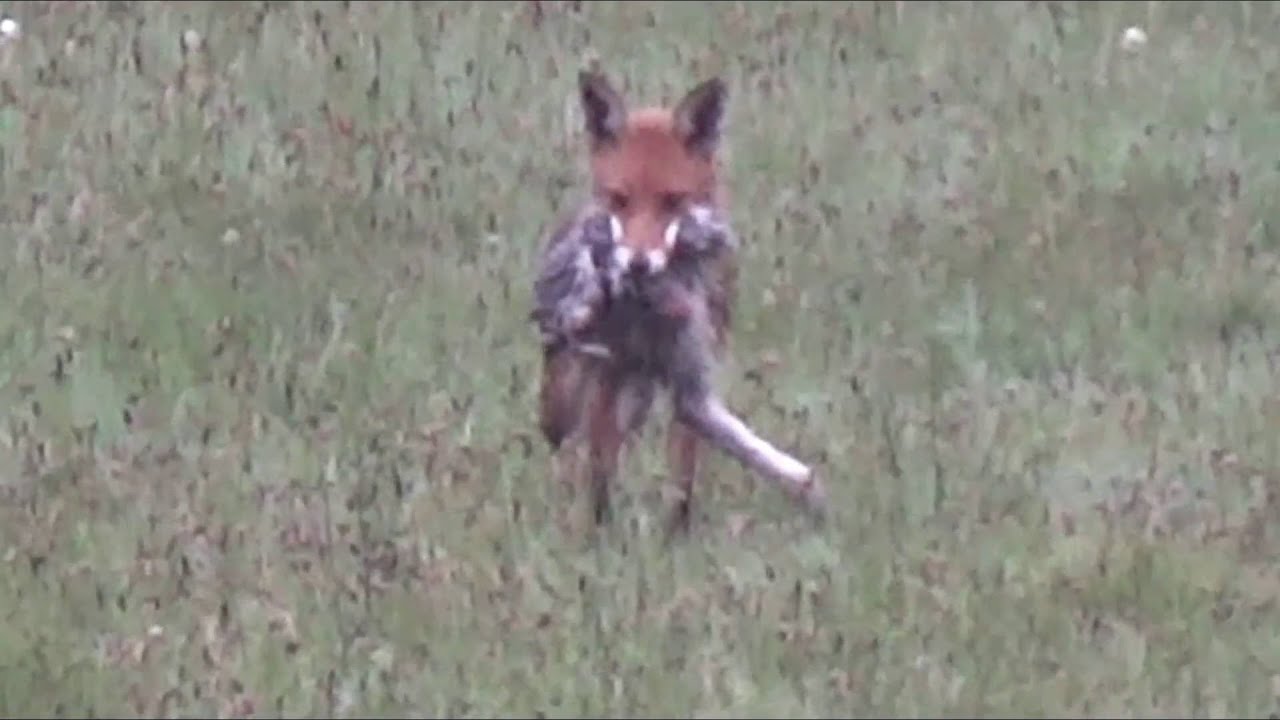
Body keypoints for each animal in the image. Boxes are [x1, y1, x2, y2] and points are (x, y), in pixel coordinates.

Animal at [531, 70, 826, 533]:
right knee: (574, 436)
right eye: (620, 200)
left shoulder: (693, 370)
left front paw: (676, 532)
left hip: (641, 389)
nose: (636, 265)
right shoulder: (612, 370)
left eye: (673, 201)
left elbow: (684, 464)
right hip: (586, 383)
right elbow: (601, 461)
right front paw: (600, 529)